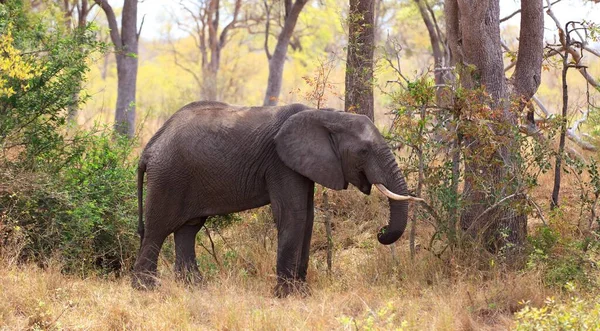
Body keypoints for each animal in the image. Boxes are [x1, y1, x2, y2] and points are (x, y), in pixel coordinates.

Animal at [131, 102, 422, 298]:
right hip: (168, 177)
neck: (327, 115)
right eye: (363, 151)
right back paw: (146, 289)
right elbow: (294, 214)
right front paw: (285, 295)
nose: (380, 232)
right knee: (158, 229)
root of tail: (149, 148)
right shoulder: (280, 162)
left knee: (188, 229)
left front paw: (301, 293)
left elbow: (308, 217)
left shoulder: (302, 163)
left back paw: (195, 288)